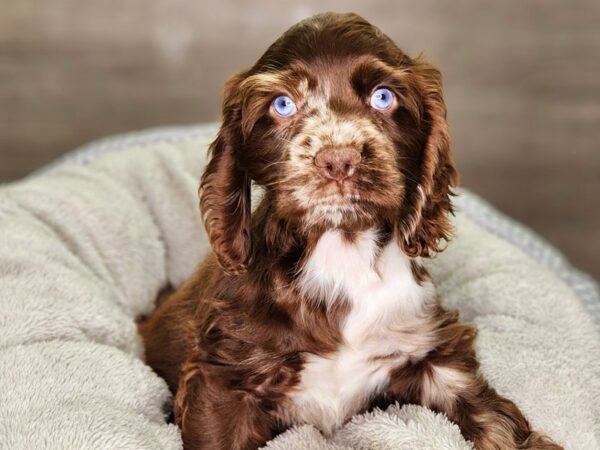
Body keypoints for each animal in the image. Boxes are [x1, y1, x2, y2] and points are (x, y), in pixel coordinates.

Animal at [139, 10, 564, 450]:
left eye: (383, 97)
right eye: (282, 104)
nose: (338, 160)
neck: (342, 252)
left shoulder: (434, 355)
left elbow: (497, 422)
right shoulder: (223, 378)